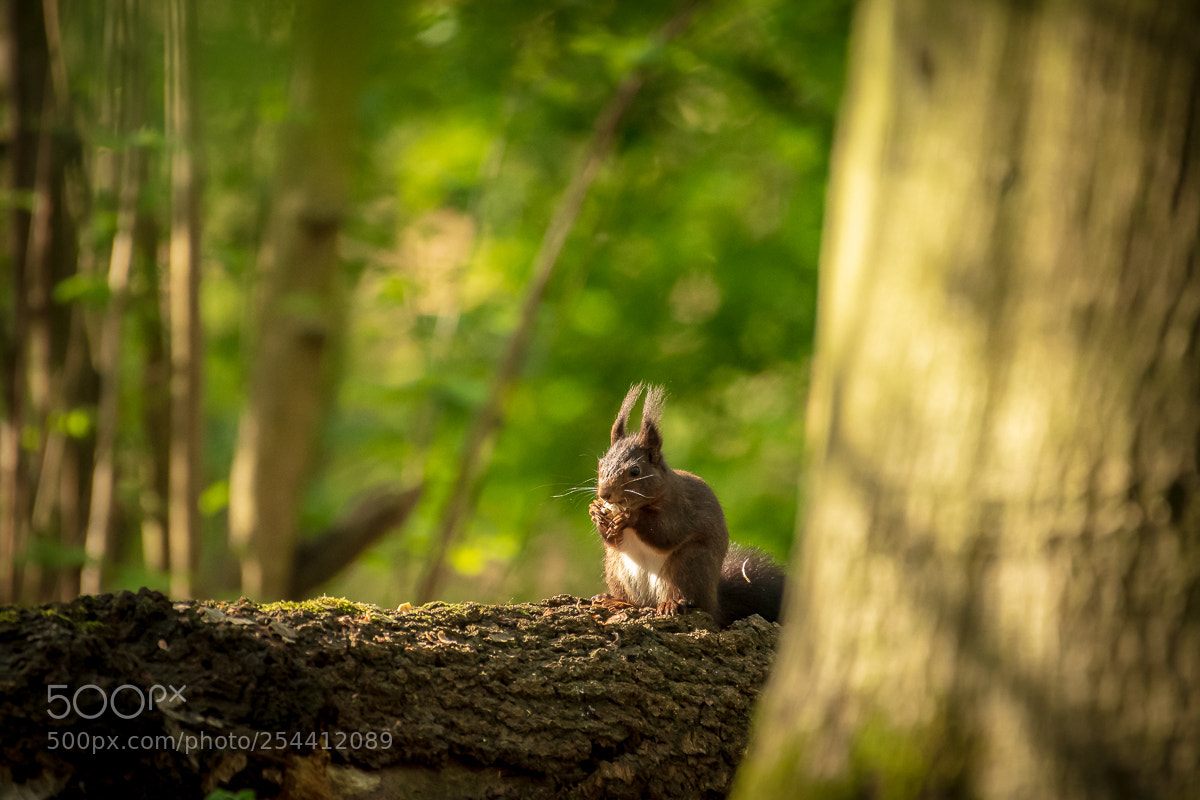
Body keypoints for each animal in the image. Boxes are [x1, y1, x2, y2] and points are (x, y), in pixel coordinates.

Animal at [588, 383, 786, 627]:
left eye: (635, 471)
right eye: (601, 464)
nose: (604, 494)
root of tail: (714, 602)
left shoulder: (681, 509)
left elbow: (666, 533)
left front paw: (631, 517)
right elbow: (613, 540)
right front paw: (596, 512)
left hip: (689, 564)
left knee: (685, 596)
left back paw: (671, 604)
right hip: (616, 568)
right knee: (634, 600)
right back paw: (613, 600)